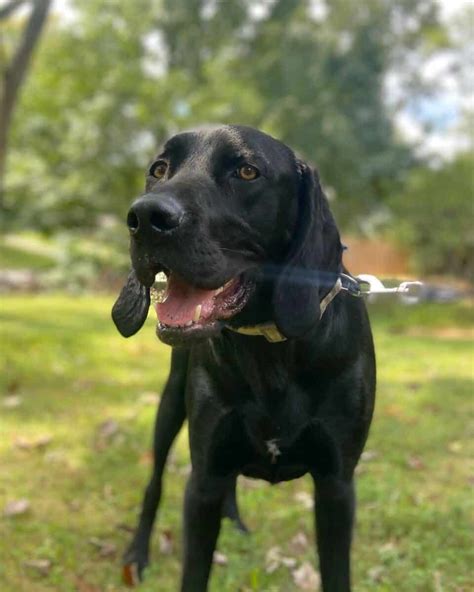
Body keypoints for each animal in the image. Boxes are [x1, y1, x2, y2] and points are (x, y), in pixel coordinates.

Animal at [113, 126, 376, 592]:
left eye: (247, 171)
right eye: (158, 169)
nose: (145, 217)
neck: (268, 351)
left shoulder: (337, 487)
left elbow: (336, 573)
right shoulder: (202, 483)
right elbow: (193, 571)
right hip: (170, 407)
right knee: (154, 483)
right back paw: (137, 554)